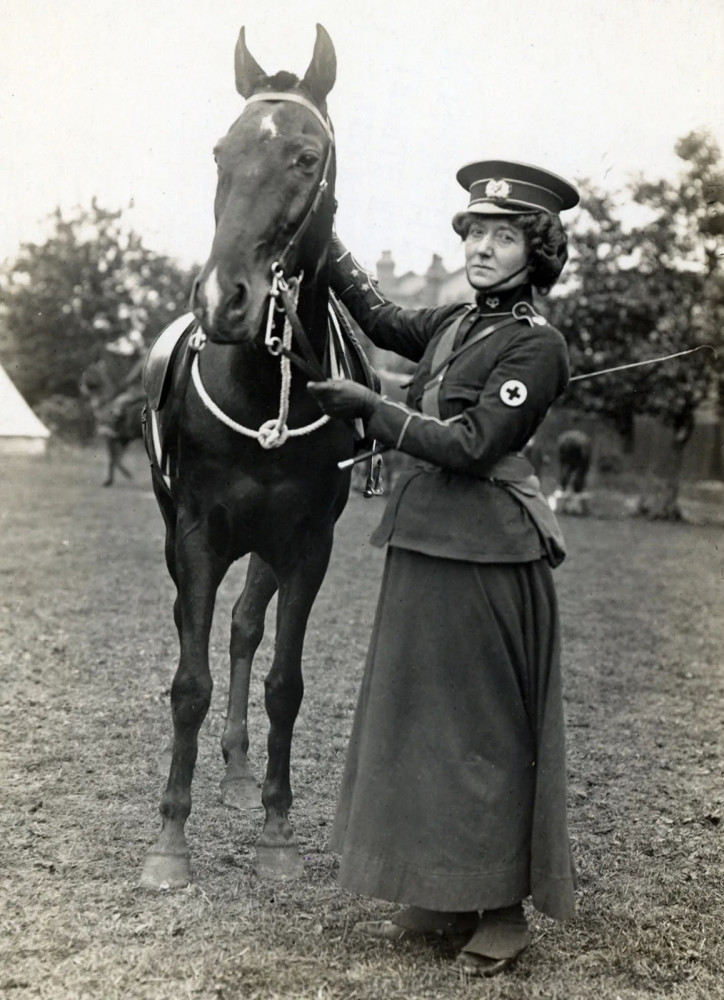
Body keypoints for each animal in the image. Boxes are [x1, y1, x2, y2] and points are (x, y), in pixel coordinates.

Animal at [139, 23, 362, 888]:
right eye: (219, 153)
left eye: (307, 156)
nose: (221, 300)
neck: (264, 386)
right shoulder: (197, 534)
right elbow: (189, 683)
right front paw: (170, 840)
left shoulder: (307, 543)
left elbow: (282, 683)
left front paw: (275, 828)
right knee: (205, 631)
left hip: (267, 546)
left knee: (241, 628)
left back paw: (237, 775)